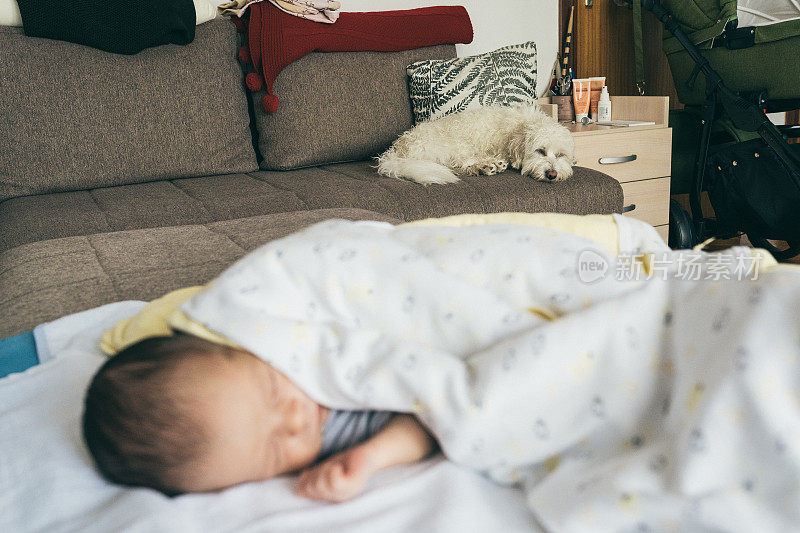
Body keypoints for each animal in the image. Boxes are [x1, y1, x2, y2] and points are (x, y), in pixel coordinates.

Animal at [376, 103, 576, 186]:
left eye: (561, 155)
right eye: (540, 151)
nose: (552, 174)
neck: (519, 127)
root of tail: (398, 151)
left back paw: (487, 166)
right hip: (453, 145)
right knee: (457, 165)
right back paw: (488, 165)